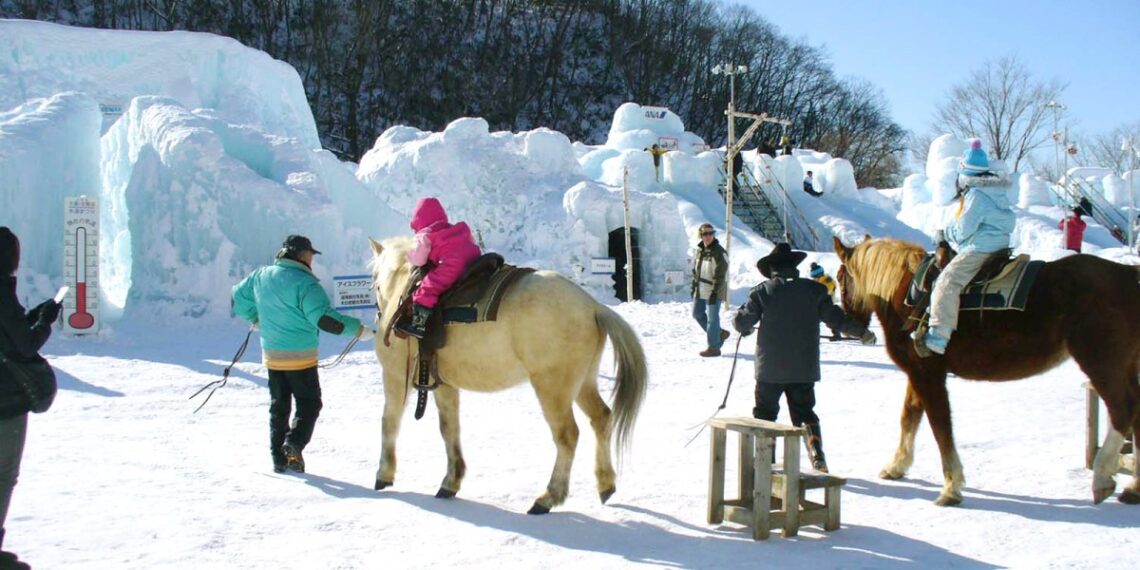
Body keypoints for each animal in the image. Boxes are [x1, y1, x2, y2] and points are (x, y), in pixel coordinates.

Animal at [367, 238, 647, 515]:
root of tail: (592, 307)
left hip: (552, 388)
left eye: (375, 281)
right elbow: (449, 429)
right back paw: (605, 484)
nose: (378, 314)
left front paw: (384, 474)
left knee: (567, 435)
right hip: (583, 383)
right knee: (601, 418)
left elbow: (389, 421)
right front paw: (450, 481)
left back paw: (548, 497)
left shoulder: (395, 376)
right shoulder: (444, 384)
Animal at [829, 237, 1140, 508]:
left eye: (841, 278)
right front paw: (896, 465)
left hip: (1101, 362)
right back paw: (1134, 487)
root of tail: (1128, 275)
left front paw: (951, 486)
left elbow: (940, 427)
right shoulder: (918, 373)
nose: (852, 325)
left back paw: (1102, 477)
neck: (904, 295)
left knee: (1122, 410)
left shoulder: (928, 375)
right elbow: (909, 416)